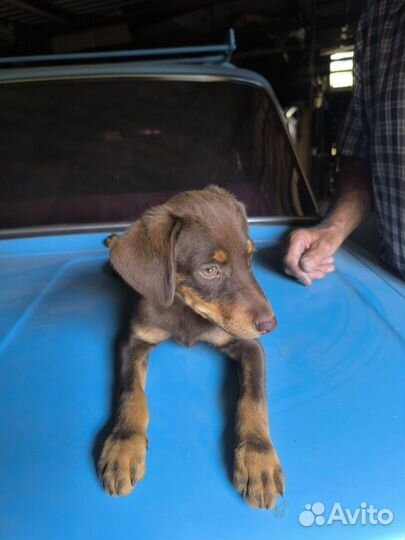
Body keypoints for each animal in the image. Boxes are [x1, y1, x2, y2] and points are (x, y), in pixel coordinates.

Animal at [97, 186, 284, 510]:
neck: (185, 307)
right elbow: (131, 393)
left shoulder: (249, 345)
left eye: (250, 257)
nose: (270, 325)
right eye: (209, 270)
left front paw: (257, 457)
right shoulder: (133, 341)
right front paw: (123, 444)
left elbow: (254, 399)